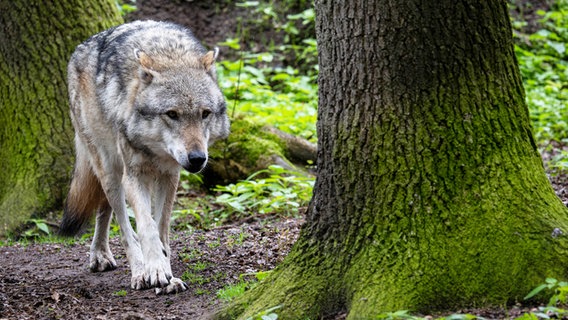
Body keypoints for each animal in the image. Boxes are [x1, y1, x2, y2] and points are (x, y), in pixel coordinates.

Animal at [60, 20, 231, 296]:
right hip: (110, 171)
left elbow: (161, 229)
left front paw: (168, 275)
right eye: (171, 114)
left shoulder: (170, 176)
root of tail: (79, 48)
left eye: (205, 113)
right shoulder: (134, 176)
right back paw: (136, 270)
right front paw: (155, 270)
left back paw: (101, 254)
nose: (197, 158)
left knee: (104, 210)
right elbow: (146, 228)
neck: (169, 54)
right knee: (122, 224)